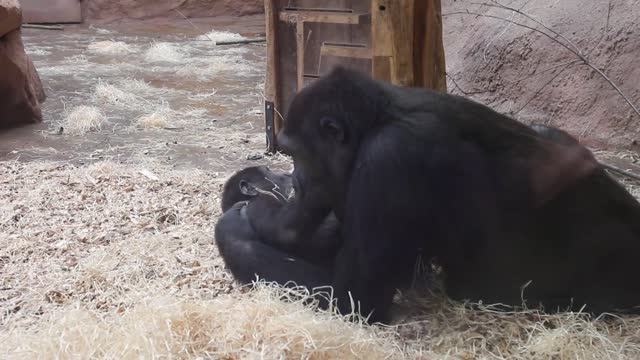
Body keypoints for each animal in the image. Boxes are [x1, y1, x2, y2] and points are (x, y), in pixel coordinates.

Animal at [216, 67, 640, 324]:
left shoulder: (388, 159)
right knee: (547, 133)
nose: (297, 181)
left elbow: (355, 299)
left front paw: (240, 223)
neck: (378, 120)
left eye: (295, 153)